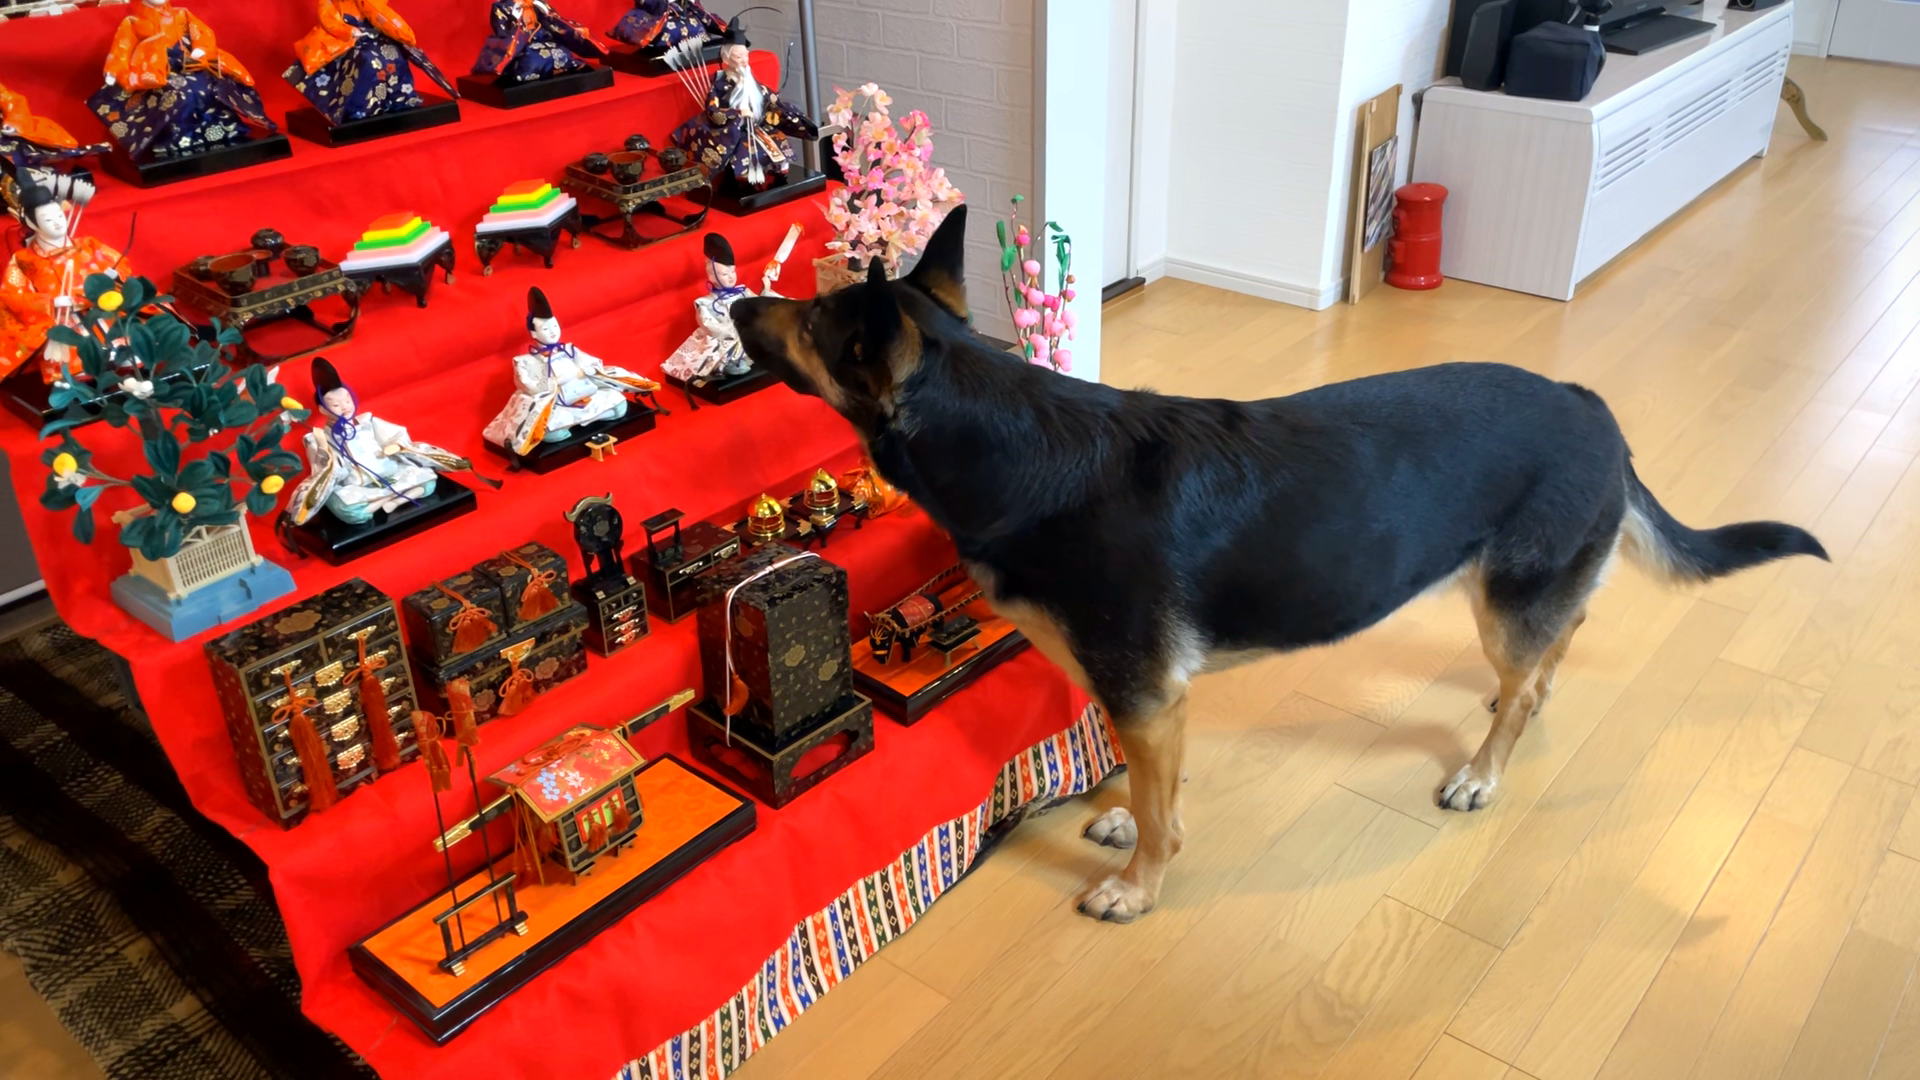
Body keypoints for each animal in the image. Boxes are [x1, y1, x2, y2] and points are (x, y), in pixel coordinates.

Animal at [731, 205, 1828, 924]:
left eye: (811, 317)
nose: (731, 299)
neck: (1007, 440)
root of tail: (1590, 402)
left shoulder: (1145, 697)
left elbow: (1160, 808)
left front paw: (1141, 886)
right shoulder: (1151, 705)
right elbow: (1154, 790)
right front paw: (1134, 831)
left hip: (1503, 597)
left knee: (1521, 688)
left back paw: (1483, 773)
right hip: (1528, 593)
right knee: (1556, 646)